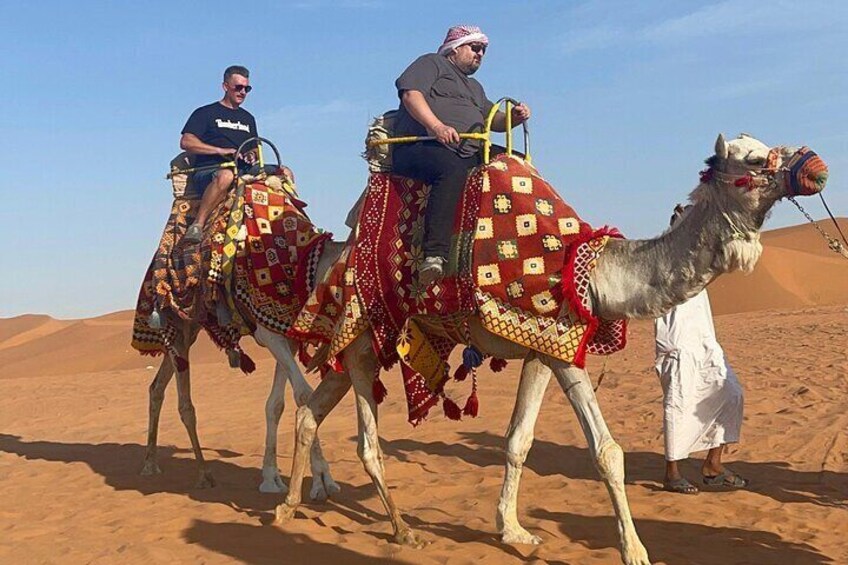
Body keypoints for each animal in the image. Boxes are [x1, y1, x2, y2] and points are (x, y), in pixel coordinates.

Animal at [137, 175, 346, 498]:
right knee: (184, 402)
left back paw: (150, 463)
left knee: (157, 386)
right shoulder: (269, 332)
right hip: (179, 323)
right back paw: (202, 474)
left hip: (189, 329)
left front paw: (272, 477)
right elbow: (303, 396)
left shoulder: (286, 334)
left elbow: (277, 404)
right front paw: (321, 480)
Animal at [276, 133, 828, 564]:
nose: (817, 167)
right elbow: (607, 451)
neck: (593, 271)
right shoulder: (562, 341)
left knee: (308, 413)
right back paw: (403, 530)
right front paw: (636, 551)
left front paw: (513, 530)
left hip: (351, 352)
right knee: (367, 444)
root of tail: (332, 254)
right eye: (754, 160)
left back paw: (288, 507)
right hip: (363, 337)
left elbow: (518, 441)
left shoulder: (542, 348)